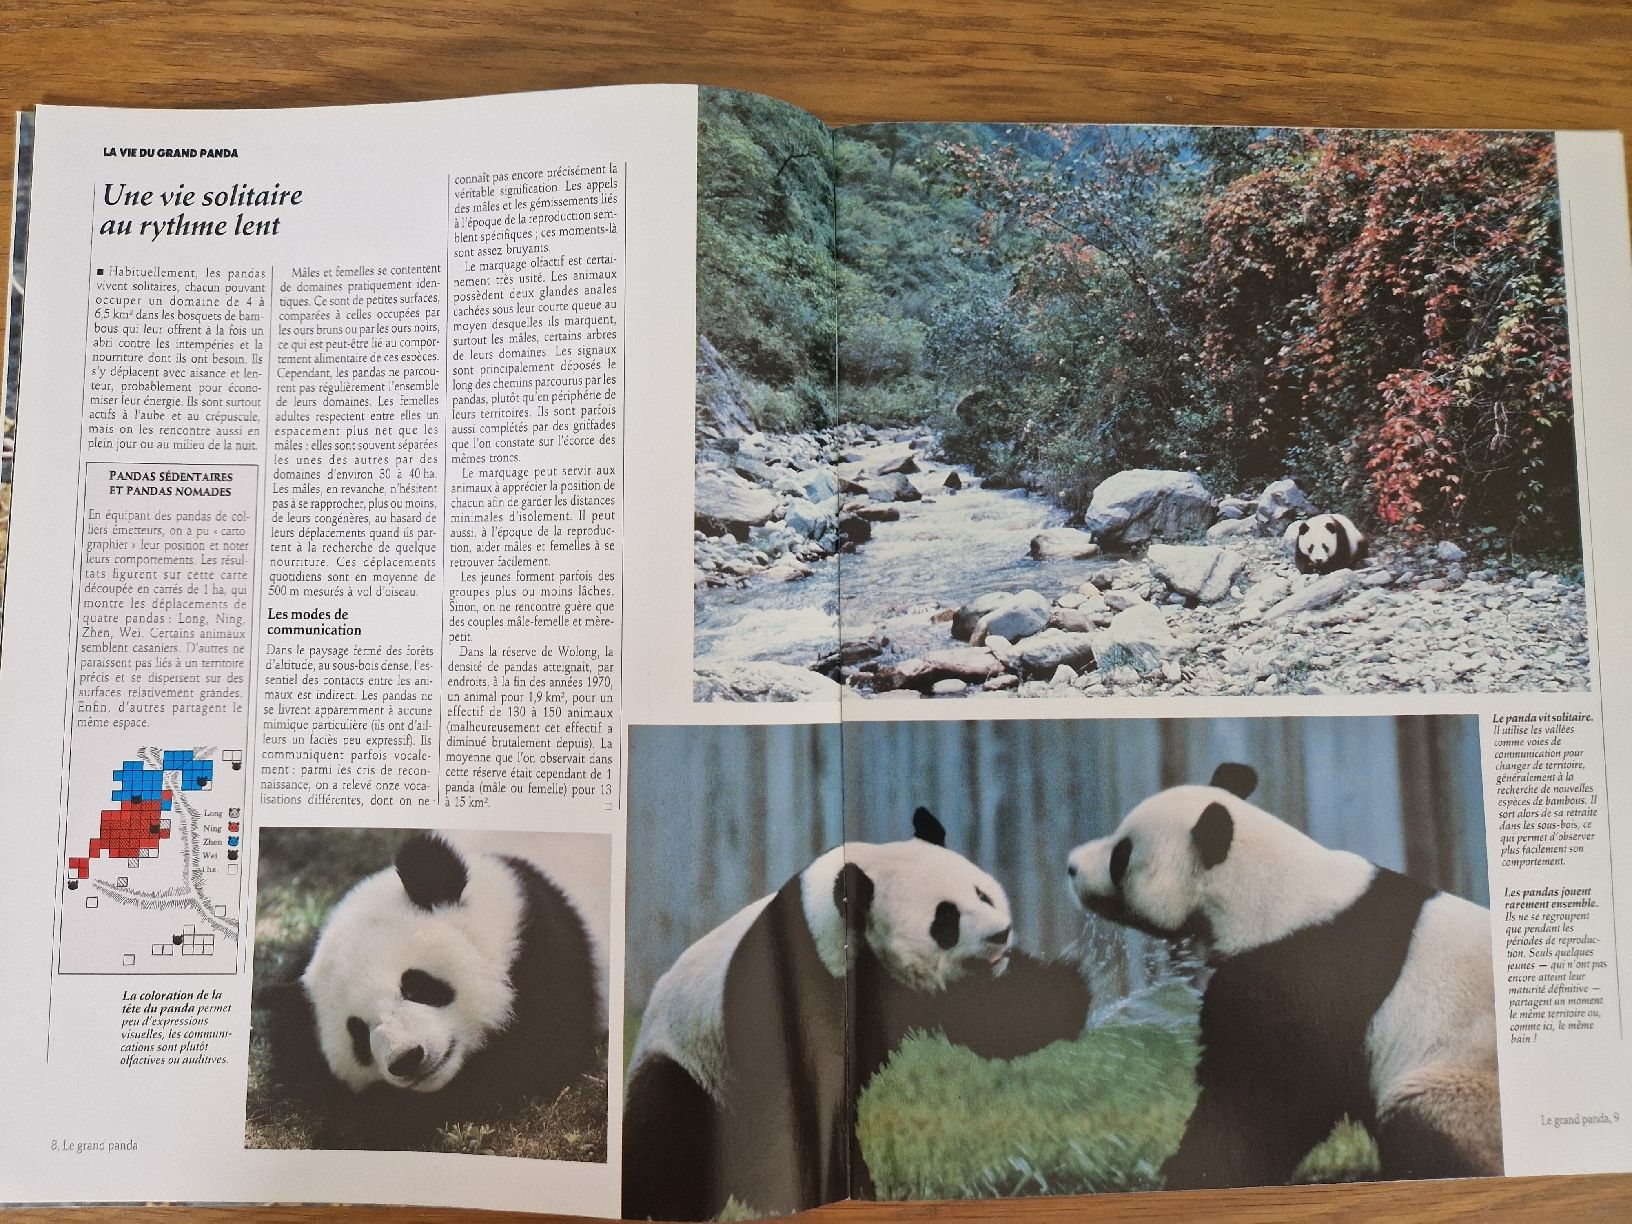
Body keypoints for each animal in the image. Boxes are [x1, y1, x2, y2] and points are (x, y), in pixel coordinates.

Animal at [257, 831, 607, 1150]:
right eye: (357, 1033)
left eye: (415, 986)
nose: (406, 1059)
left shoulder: (544, 951)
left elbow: (528, 1058)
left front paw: (360, 1123)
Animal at [622, 807, 1090, 1221]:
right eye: (946, 918)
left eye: (982, 893)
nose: (1000, 934)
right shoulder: (788, 973)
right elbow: (785, 1088)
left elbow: (990, 1018)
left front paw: (1068, 996)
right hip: (690, 1065)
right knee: (667, 1132)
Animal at [1066, 764, 1501, 1190]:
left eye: (1121, 856)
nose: (1071, 866)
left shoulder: (1302, 968)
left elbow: (1265, 1095)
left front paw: (1194, 1173)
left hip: (1459, 1089)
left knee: (1420, 1121)